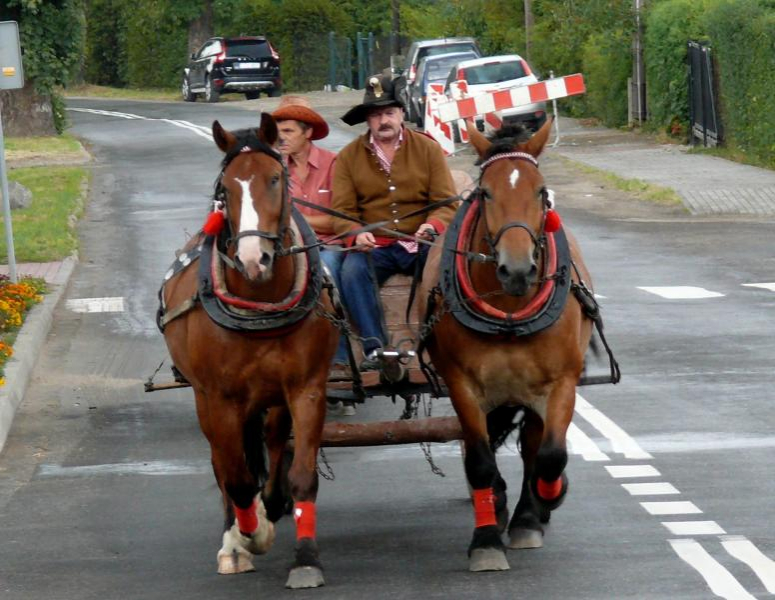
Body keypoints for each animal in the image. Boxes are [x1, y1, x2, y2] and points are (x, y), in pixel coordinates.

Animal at [159, 115, 338, 588]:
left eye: (275, 178)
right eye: (225, 189)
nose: (254, 258)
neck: (259, 305)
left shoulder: (306, 389)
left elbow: (301, 475)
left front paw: (305, 557)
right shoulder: (219, 399)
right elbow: (236, 480)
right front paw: (247, 537)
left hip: (270, 398)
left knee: (273, 443)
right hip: (214, 402)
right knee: (225, 468)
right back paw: (235, 538)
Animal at [422, 118, 596, 572]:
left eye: (541, 191)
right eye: (485, 193)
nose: (517, 270)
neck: (511, 313)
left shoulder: (561, 384)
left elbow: (551, 456)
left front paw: (547, 499)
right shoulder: (463, 386)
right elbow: (480, 461)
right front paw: (485, 539)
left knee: (535, 447)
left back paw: (529, 515)